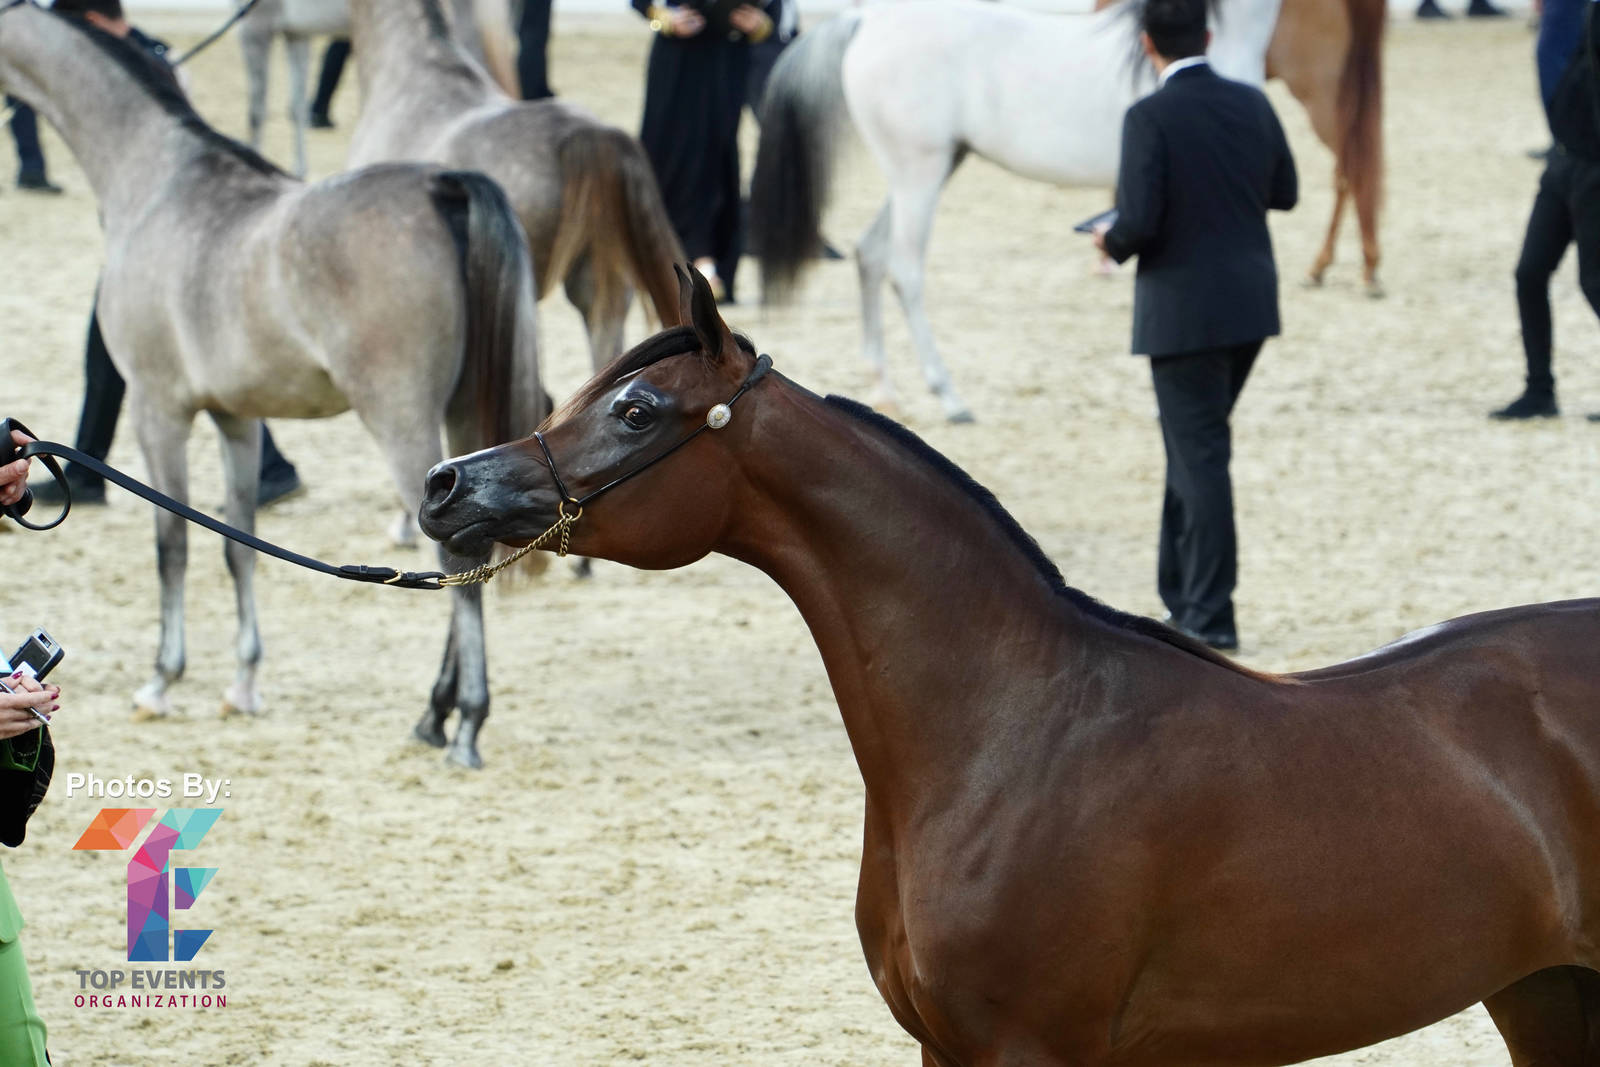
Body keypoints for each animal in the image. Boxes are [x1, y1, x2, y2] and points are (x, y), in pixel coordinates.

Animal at [420, 267, 1600, 1065]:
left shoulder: (1032, 1046)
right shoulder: (943, 1044)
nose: (446, 485)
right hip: (1543, 995)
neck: (1009, 731)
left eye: (634, 410)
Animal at [748, 0, 1284, 422]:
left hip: (929, 169)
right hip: (918, 173)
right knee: (904, 269)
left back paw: (885, 391)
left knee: (870, 254)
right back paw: (950, 398)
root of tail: (864, 19)